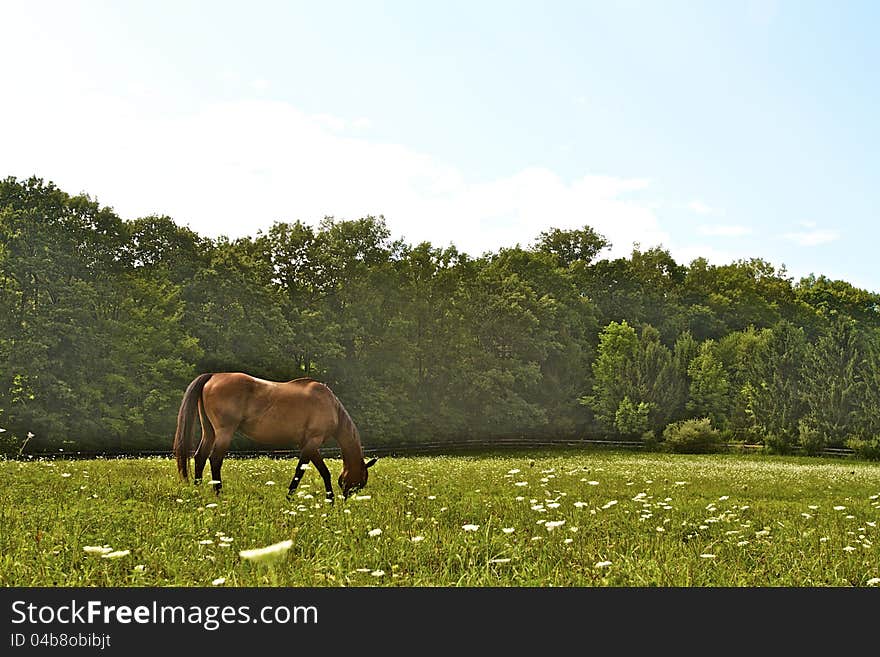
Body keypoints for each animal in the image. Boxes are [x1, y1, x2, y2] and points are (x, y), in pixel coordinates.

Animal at [174, 372, 376, 500]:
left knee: (200, 457)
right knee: (215, 460)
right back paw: (218, 493)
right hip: (224, 432)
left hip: (209, 431)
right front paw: (291, 497)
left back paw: (199, 489)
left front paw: (329, 499)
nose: (346, 499)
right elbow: (304, 471)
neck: (330, 405)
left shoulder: (308, 444)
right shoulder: (312, 443)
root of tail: (213, 376)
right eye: (361, 481)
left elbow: (321, 471)